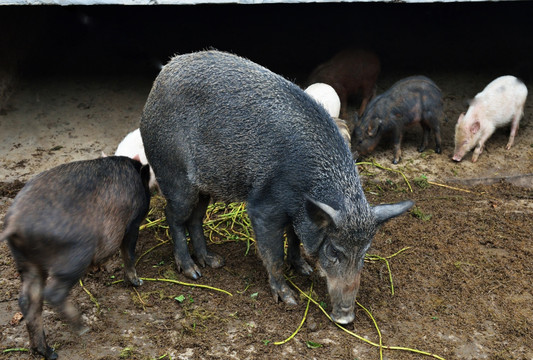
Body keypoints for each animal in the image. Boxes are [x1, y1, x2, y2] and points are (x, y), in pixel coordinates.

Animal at [1, 157, 150, 360]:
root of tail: (15, 223)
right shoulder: (132, 224)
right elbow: (129, 253)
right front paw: (138, 282)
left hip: (28, 263)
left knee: (27, 300)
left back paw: (49, 353)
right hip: (76, 256)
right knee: (52, 293)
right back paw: (83, 328)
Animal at [139, 50, 414, 324]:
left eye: (364, 253)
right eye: (334, 250)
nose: (346, 318)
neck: (307, 187)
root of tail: (162, 77)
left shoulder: (297, 212)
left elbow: (294, 238)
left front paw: (304, 269)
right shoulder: (263, 208)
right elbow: (275, 254)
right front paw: (290, 299)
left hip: (204, 186)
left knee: (196, 218)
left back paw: (214, 262)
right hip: (174, 174)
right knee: (173, 216)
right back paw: (193, 272)